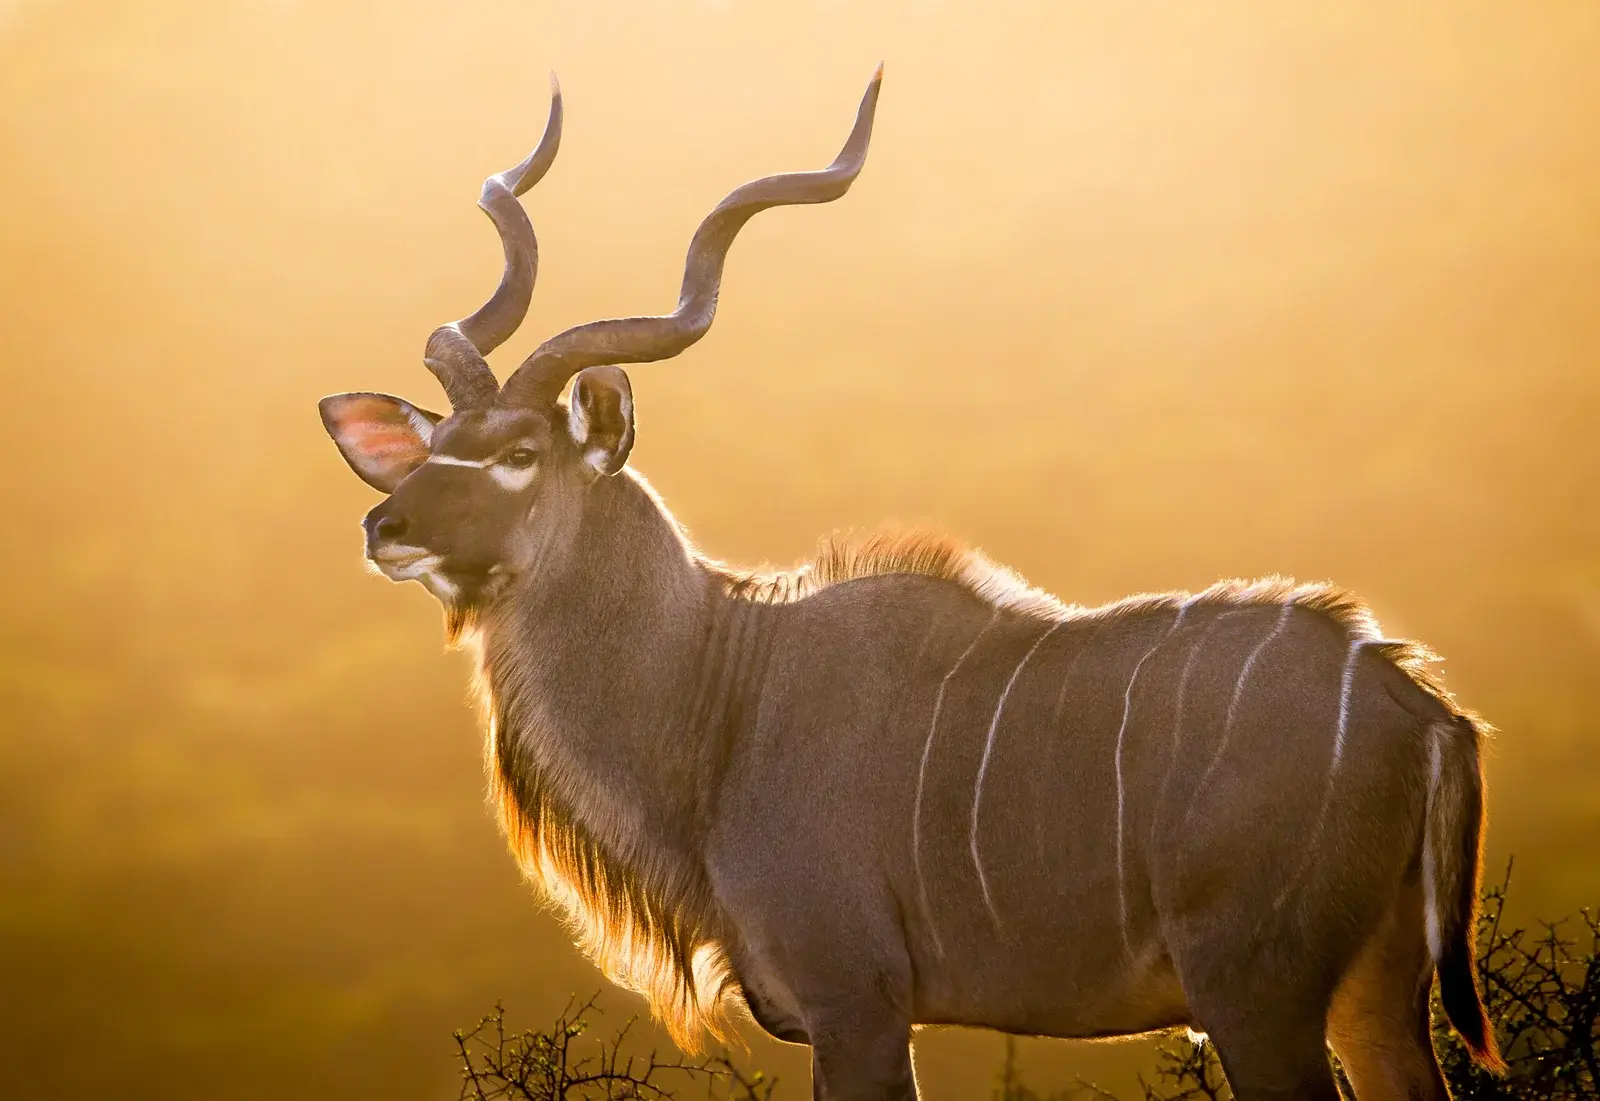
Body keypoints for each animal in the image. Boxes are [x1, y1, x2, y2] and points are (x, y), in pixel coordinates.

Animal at [319, 70, 1503, 1101]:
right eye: (435, 446)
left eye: (520, 452)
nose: (387, 525)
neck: (720, 696)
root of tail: (1426, 711)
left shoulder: (858, 1003)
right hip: (1369, 1000)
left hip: (1254, 994)